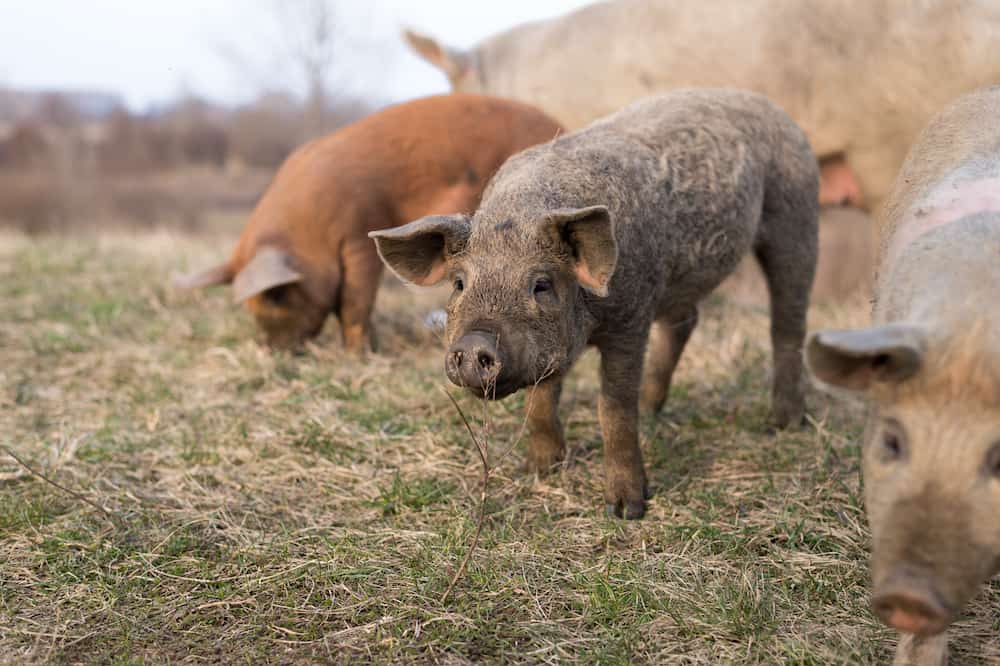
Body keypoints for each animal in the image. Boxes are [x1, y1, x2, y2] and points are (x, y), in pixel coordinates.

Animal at [173, 96, 564, 352]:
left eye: (277, 297)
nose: (274, 351)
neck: (310, 227)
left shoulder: (359, 233)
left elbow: (355, 298)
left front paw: (358, 354)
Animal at [372, 89, 816, 520]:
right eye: (460, 283)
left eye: (541, 285)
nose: (474, 344)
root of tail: (769, 105)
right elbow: (540, 400)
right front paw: (540, 470)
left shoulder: (631, 319)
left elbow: (614, 408)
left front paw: (625, 510)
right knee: (687, 321)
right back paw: (652, 408)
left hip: (795, 218)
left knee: (788, 324)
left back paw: (784, 423)